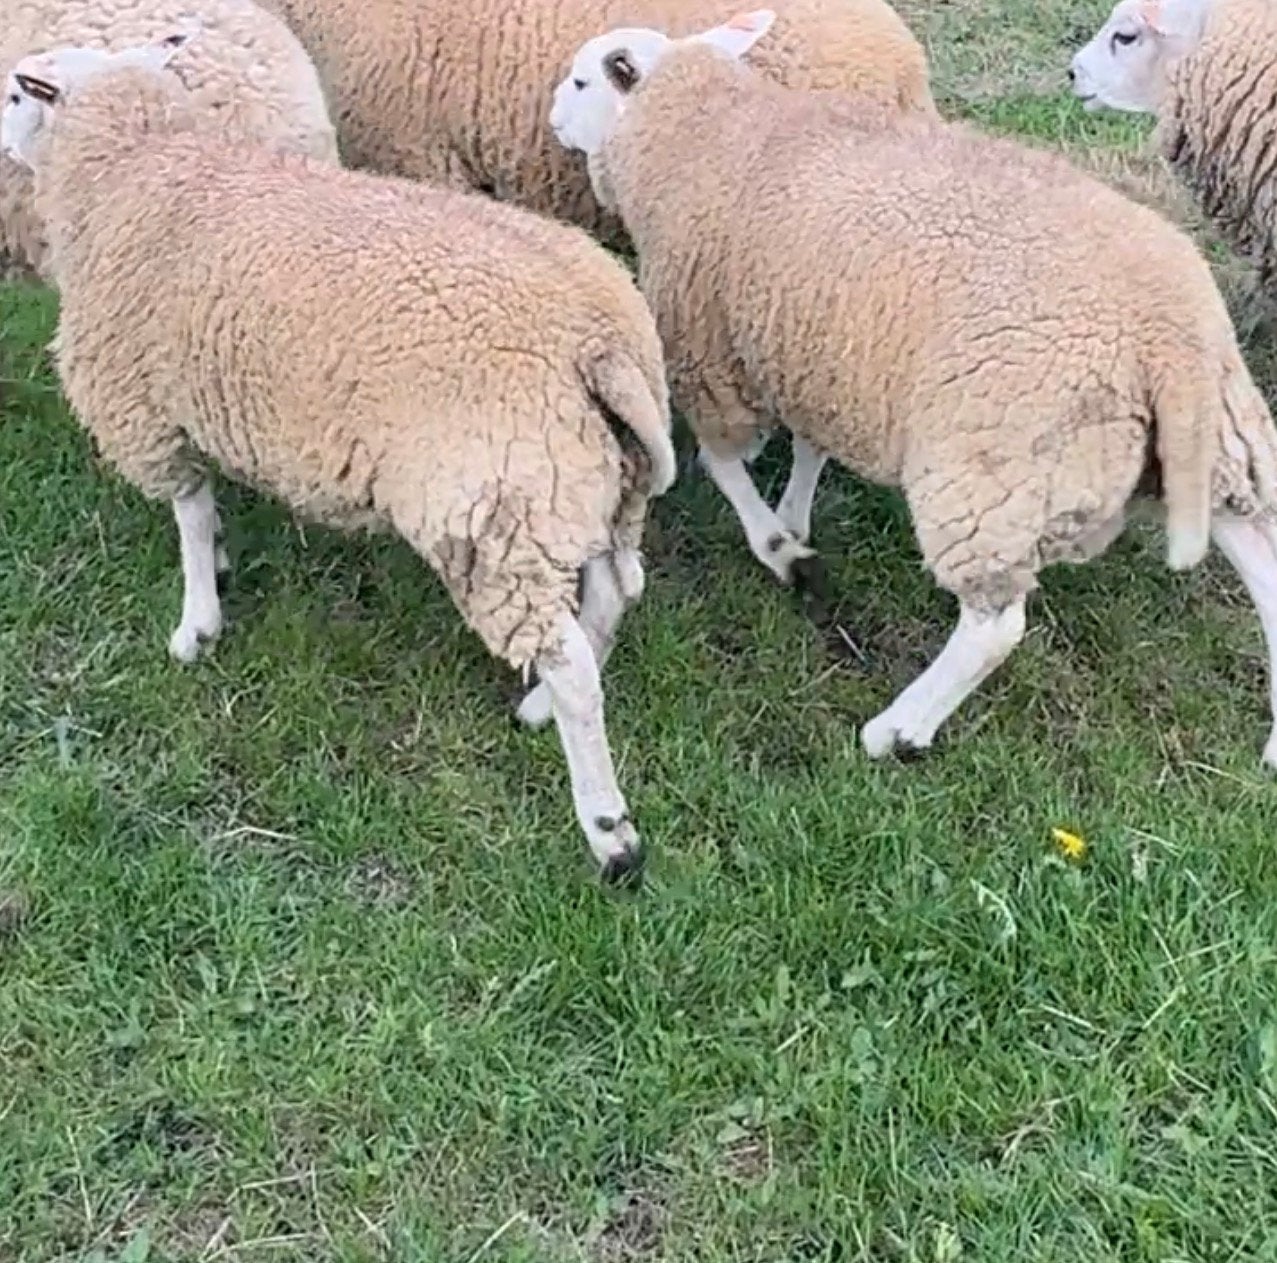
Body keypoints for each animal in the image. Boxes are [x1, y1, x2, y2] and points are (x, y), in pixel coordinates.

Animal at [2, 30, 677, 882]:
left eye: (17, 92)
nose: (0, 137)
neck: (139, 164)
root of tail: (598, 338)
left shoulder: (149, 408)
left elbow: (188, 514)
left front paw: (197, 625)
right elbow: (205, 513)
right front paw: (219, 565)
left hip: (488, 509)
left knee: (574, 669)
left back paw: (609, 829)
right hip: (574, 486)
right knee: (611, 595)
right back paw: (538, 708)